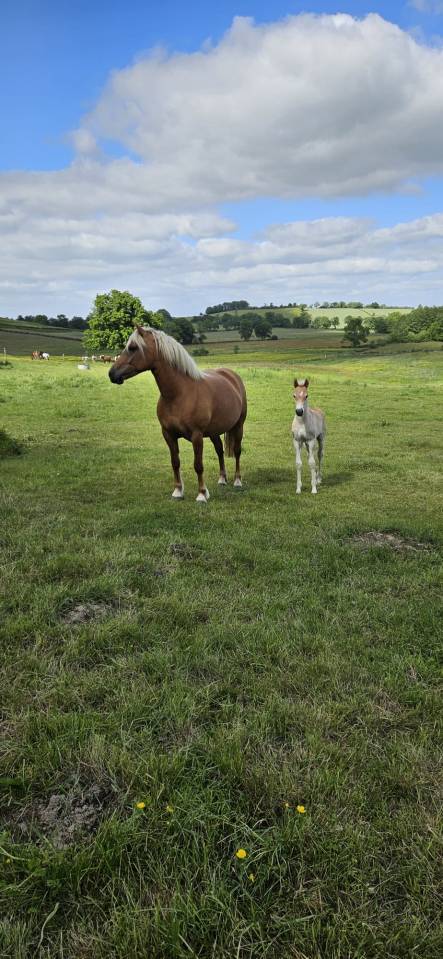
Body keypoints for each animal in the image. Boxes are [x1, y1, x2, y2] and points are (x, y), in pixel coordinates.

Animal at [109, 325, 247, 502]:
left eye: (133, 347)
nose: (112, 374)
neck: (179, 394)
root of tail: (231, 375)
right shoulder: (168, 434)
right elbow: (175, 462)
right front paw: (178, 491)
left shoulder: (196, 436)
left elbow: (198, 465)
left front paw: (202, 494)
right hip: (214, 432)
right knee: (220, 451)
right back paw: (222, 479)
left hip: (239, 426)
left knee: (237, 451)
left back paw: (237, 481)